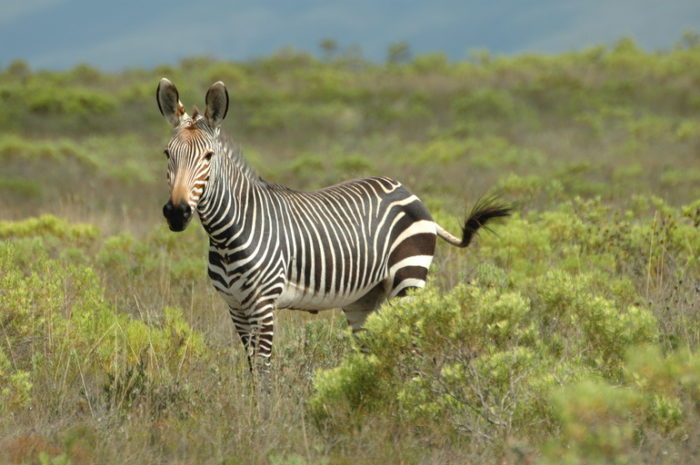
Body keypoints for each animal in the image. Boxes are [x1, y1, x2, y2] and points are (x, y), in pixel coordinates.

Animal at [157, 79, 508, 370]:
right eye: (167, 154)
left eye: (208, 156)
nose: (176, 212)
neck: (226, 236)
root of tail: (406, 189)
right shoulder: (236, 307)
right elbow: (253, 370)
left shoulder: (263, 303)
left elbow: (266, 370)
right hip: (365, 298)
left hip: (409, 278)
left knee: (414, 345)